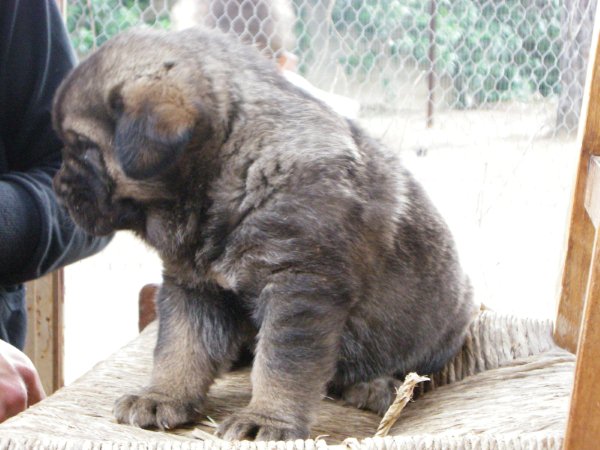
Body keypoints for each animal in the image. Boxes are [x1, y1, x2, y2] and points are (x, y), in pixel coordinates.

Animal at [51, 27, 476, 440]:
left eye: (83, 147)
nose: (57, 189)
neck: (229, 172)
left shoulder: (299, 291)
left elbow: (281, 365)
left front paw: (268, 418)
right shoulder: (193, 286)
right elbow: (179, 348)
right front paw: (163, 396)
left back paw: (375, 384)